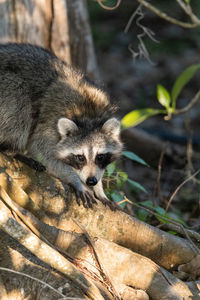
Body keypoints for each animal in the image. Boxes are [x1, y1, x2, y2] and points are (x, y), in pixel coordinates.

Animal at [0, 44, 122, 209]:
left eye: (100, 156)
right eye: (80, 158)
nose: (91, 181)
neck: (89, 114)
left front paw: (99, 189)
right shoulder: (49, 121)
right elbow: (43, 151)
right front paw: (75, 180)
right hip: (7, 88)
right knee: (20, 108)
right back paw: (12, 150)